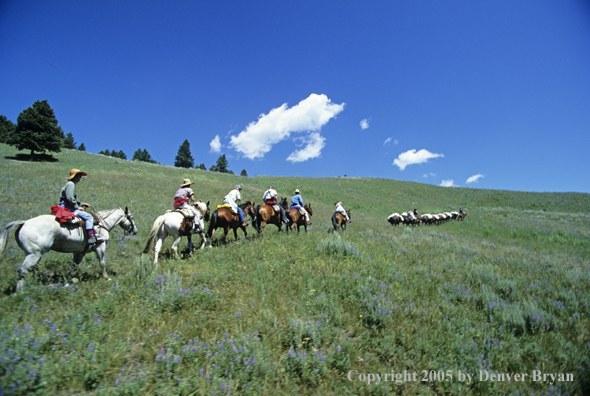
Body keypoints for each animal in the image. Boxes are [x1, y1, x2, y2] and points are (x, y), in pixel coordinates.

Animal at [0, 207, 138, 290]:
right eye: (131, 217)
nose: (135, 231)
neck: (102, 224)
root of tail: (23, 223)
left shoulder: (80, 252)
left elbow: (74, 266)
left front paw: (67, 280)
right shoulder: (100, 246)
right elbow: (102, 263)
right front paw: (106, 277)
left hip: (36, 254)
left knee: (33, 268)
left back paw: (44, 280)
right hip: (34, 254)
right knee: (23, 270)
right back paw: (21, 292)